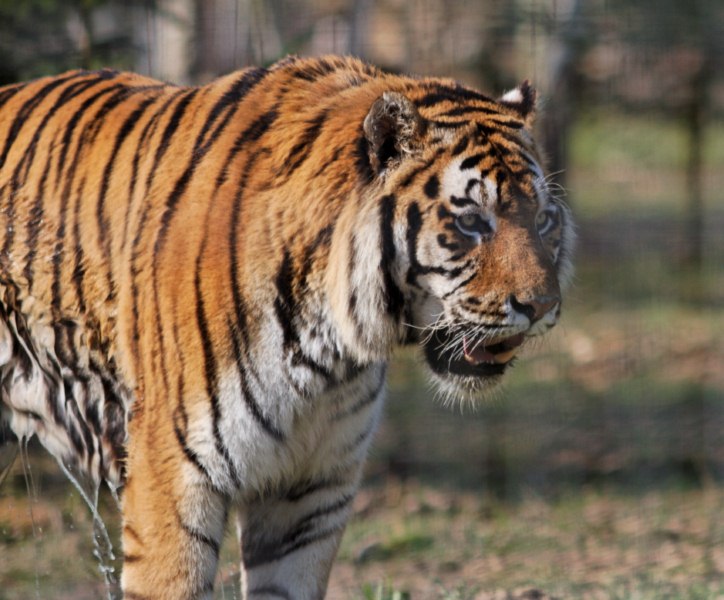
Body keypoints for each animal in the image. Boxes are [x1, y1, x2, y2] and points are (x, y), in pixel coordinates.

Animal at [1, 54, 572, 596]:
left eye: (543, 219)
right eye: (472, 222)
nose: (542, 305)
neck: (327, 351)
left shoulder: (310, 487)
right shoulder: (173, 475)